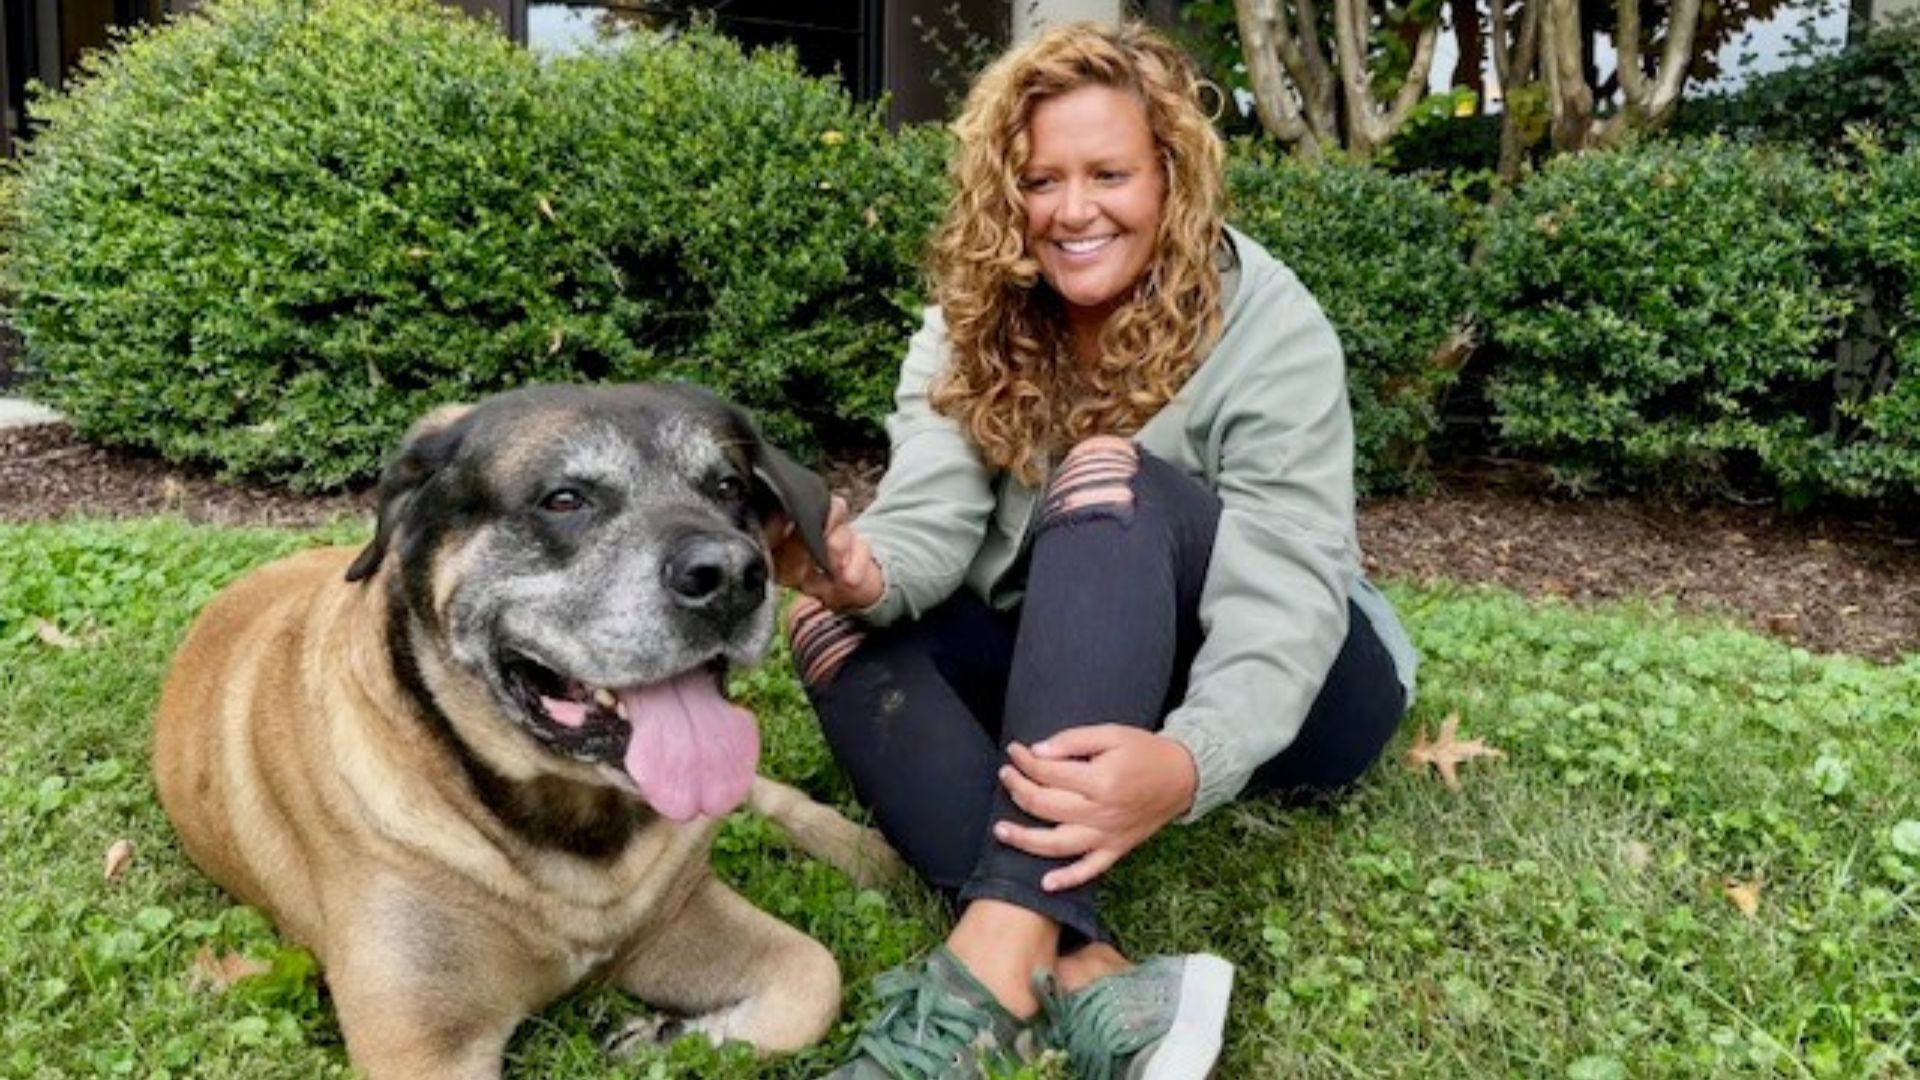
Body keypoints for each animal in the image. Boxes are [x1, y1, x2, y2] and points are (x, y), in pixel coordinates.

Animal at [151, 384, 898, 1076]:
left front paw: (669, 1036)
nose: (734, 574)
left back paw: (868, 851)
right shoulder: (421, 1043)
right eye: (565, 499)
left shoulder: (676, 915)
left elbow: (816, 972)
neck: (568, 822)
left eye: (728, 486)